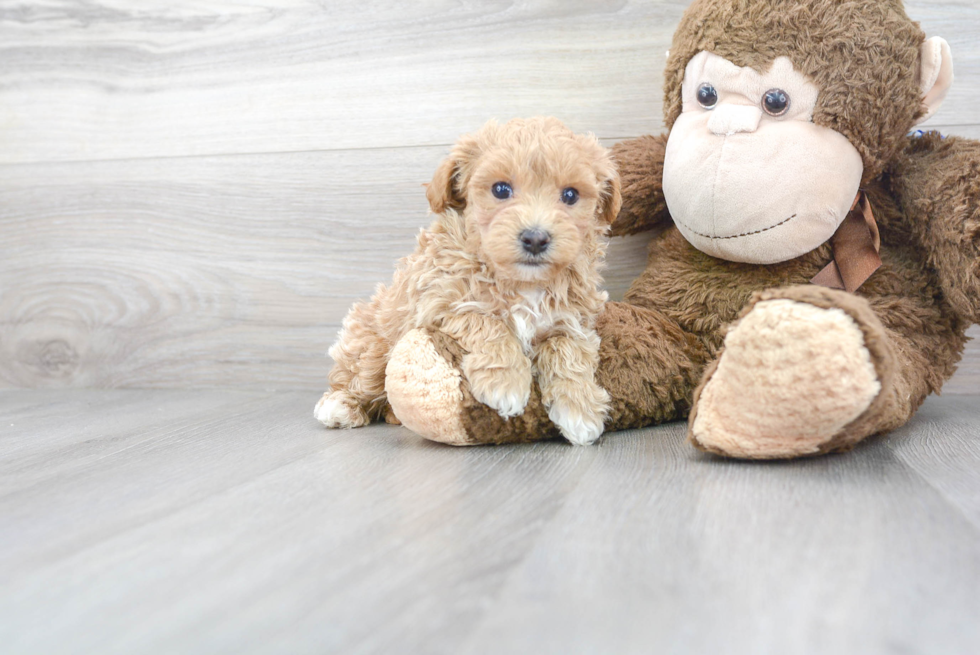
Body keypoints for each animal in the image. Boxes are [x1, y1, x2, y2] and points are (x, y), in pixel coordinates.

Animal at [314, 118, 620, 446]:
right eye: (501, 189)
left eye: (571, 195)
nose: (535, 238)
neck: (522, 283)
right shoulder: (439, 302)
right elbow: (489, 322)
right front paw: (505, 382)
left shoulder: (574, 321)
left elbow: (568, 351)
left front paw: (579, 409)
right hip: (372, 342)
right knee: (359, 378)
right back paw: (340, 405)